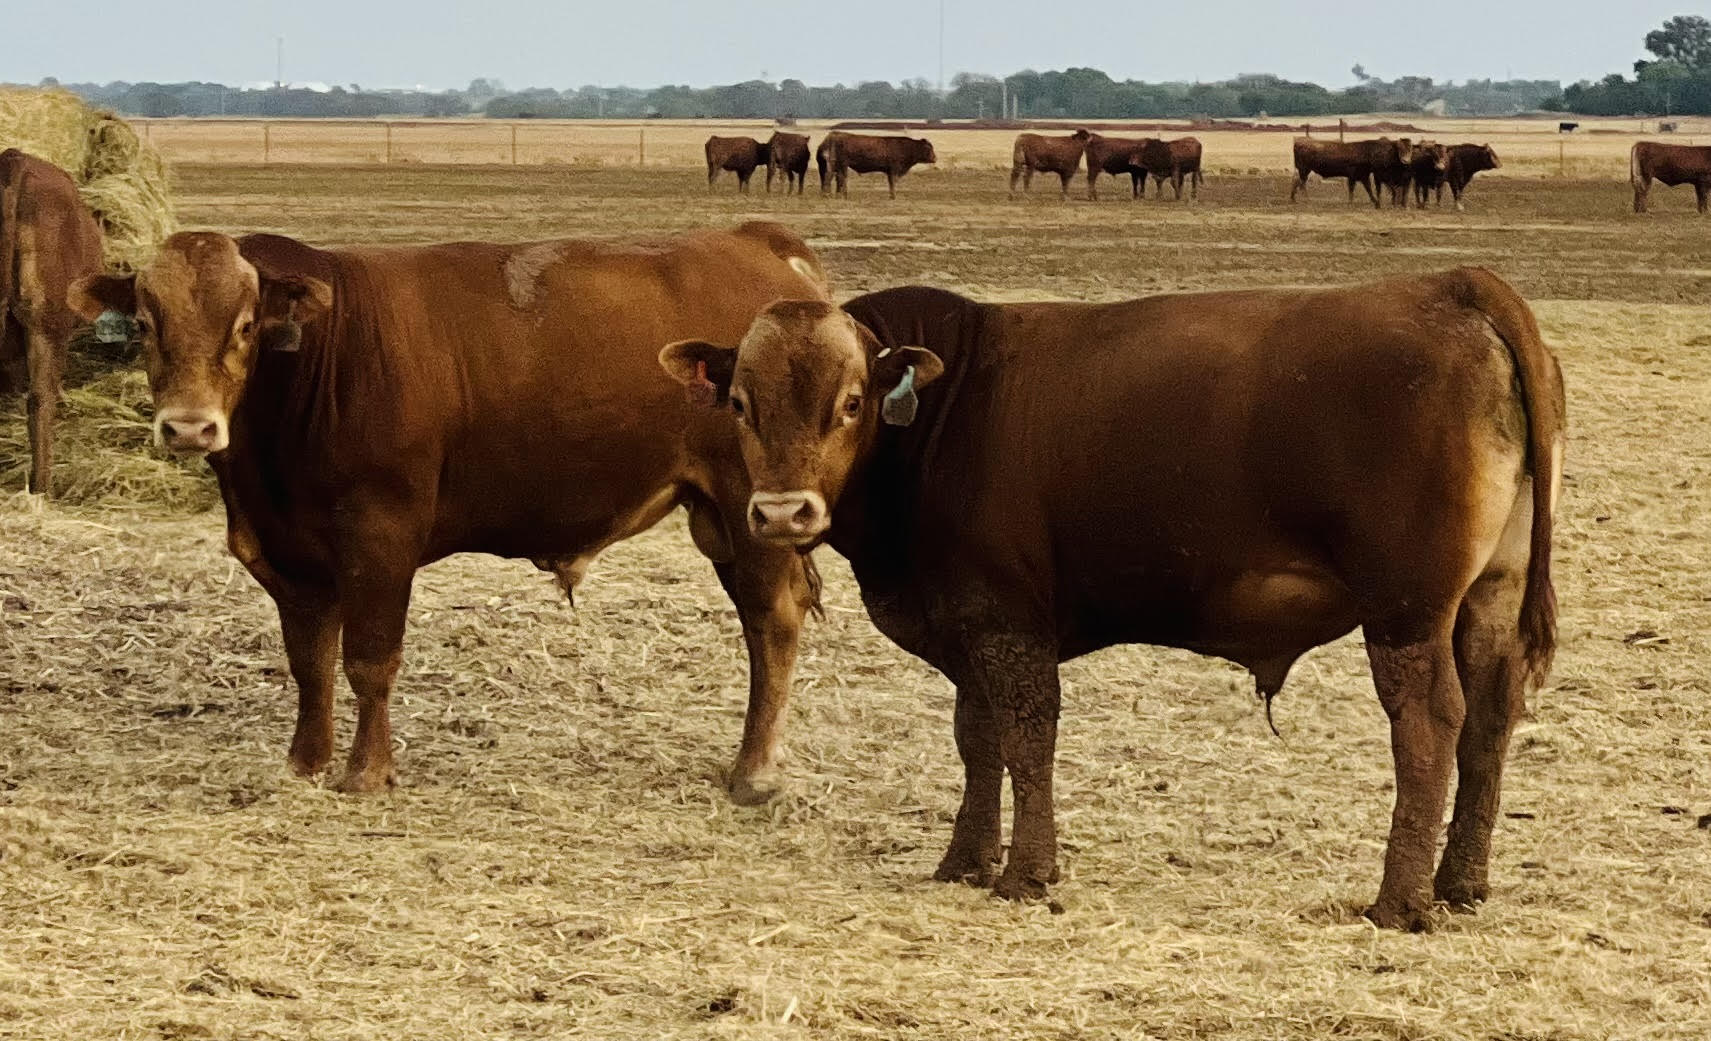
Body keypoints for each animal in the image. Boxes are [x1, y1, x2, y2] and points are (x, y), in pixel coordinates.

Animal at [70, 224, 831, 801]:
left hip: (752, 511)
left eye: (247, 325)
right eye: (145, 324)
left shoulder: (380, 536)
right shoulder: (290, 553)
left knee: (771, 623)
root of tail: (750, 240)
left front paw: (366, 771)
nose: (189, 427)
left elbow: (369, 659)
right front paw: (305, 761)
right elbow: (310, 660)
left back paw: (754, 772)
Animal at [663, 267, 1567, 924]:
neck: (946, 413)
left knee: (1428, 725)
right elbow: (977, 740)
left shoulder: (1008, 621)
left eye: (851, 402)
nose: (782, 512)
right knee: (1490, 720)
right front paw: (965, 860)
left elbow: (1027, 740)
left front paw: (1026, 872)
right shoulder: (968, 625)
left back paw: (1399, 900)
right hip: (1487, 597)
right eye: (739, 402)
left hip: (1405, 610)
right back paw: (1460, 882)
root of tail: (1444, 287)